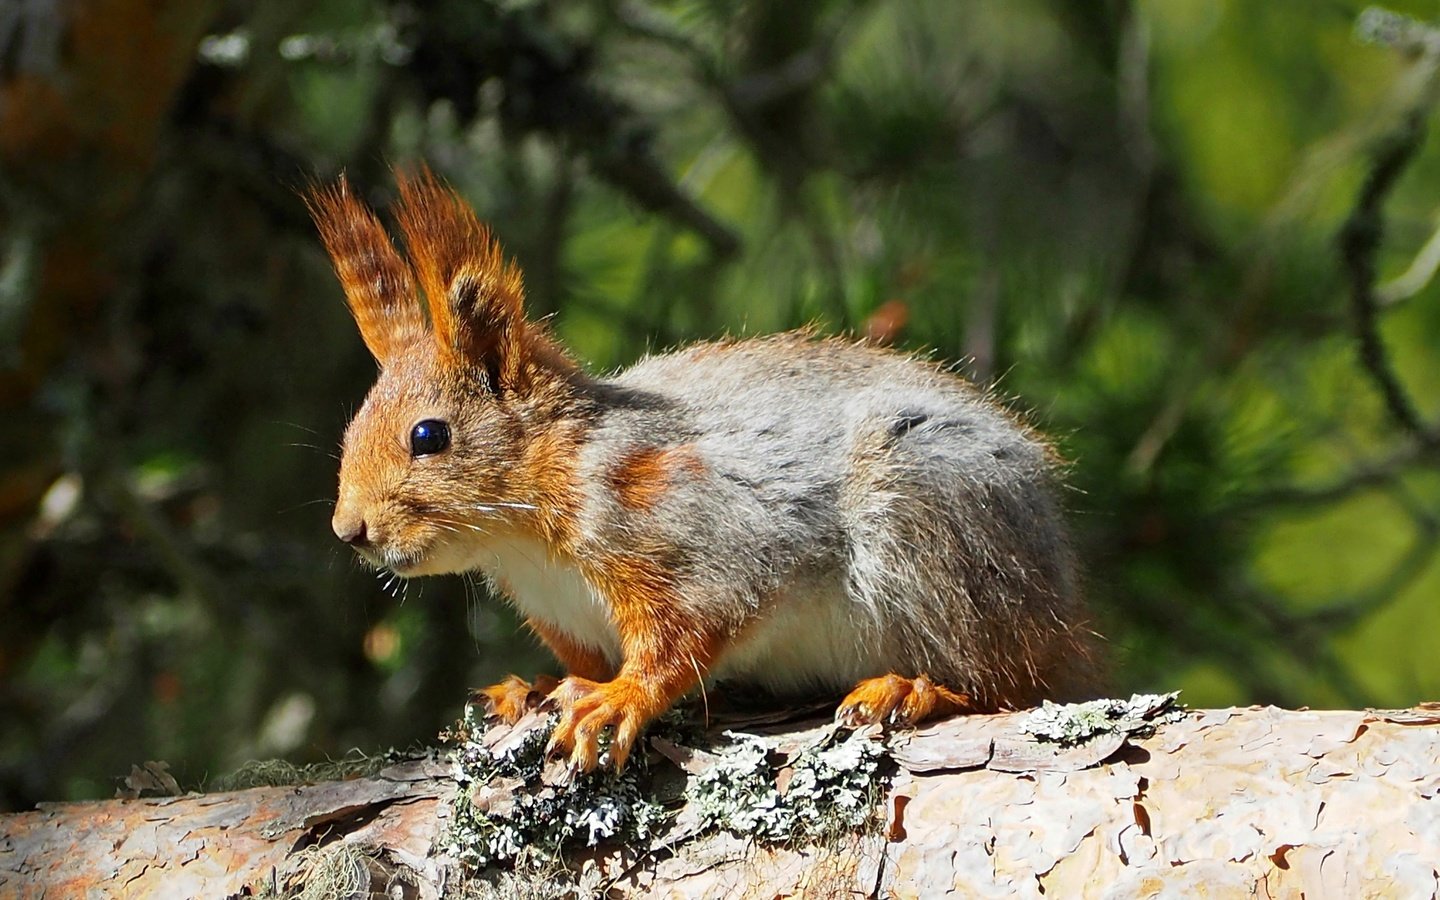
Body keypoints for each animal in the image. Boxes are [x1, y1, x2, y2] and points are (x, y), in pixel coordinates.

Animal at [306, 168, 1100, 771]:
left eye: (428, 435)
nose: (349, 531)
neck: (524, 537)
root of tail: (1062, 608)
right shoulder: (564, 614)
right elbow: (583, 663)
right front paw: (537, 688)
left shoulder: (689, 530)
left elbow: (688, 632)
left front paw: (618, 701)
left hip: (936, 532)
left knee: (1009, 682)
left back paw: (914, 690)